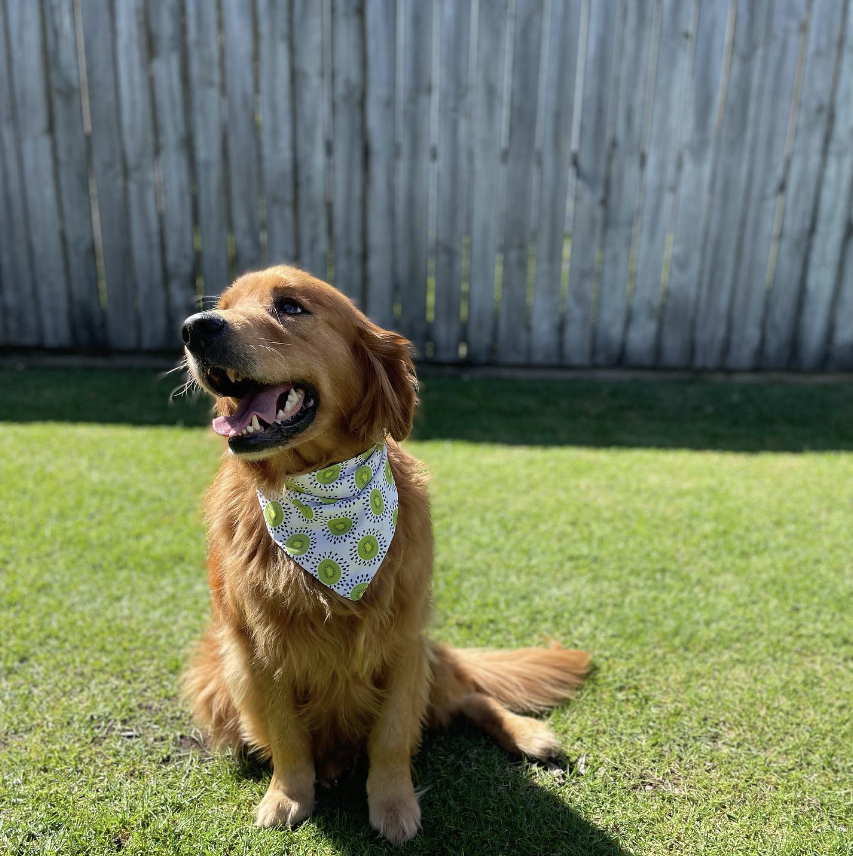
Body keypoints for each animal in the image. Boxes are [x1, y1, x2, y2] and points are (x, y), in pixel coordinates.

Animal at [181, 268, 592, 844]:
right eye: (222, 304)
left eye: (290, 306)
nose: (195, 328)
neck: (324, 494)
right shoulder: (258, 650)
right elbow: (287, 736)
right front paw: (288, 796)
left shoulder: (401, 640)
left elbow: (393, 736)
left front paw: (394, 805)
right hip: (213, 677)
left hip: (427, 657)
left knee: (467, 695)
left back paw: (530, 734)